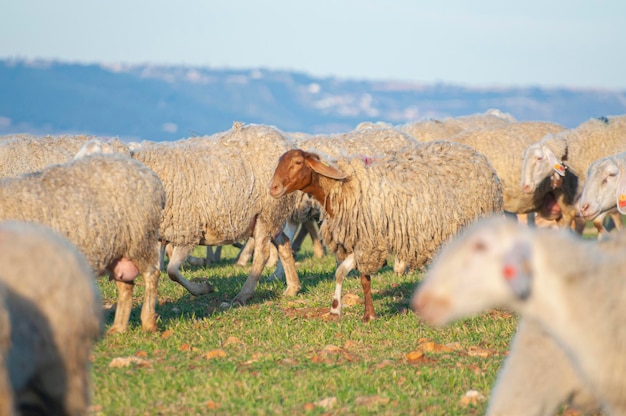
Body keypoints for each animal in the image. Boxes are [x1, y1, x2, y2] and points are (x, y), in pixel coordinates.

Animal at [0, 154, 166, 334]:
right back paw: (118, 328)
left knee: (151, 274)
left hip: (140, 239)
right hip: (118, 250)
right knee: (126, 286)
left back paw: (148, 322)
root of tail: (146, 171)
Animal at [130, 122, 302, 304]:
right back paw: (292, 287)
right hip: (270, 217)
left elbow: (172, 271)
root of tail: (283, 139)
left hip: (268, 212)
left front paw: (203, 288)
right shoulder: (160, 235)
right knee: (284, 242)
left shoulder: (188, 231)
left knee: (262, 254)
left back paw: (243, 295)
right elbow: (157, 271)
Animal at [268, 141, 502, 320]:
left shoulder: (369, 241)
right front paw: (365, 315)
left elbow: (343, 273)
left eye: (298, 162)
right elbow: (357, 277)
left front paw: (340, 310)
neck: (342, 188)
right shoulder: (360, 240)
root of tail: (482, 160)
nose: (273, 188)